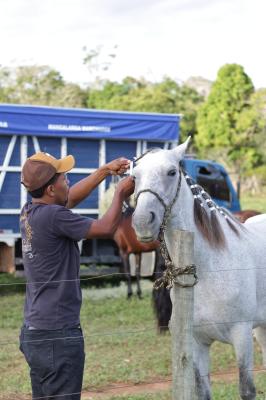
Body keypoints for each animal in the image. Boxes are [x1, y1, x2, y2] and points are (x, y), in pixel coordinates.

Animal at [131, 138, 266, 400]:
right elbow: (202, 392)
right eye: (134, 177)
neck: (212, 269)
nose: (142, 221)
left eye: (171, 172)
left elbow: (246, 390)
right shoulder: (197, 342)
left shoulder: (242, 335)